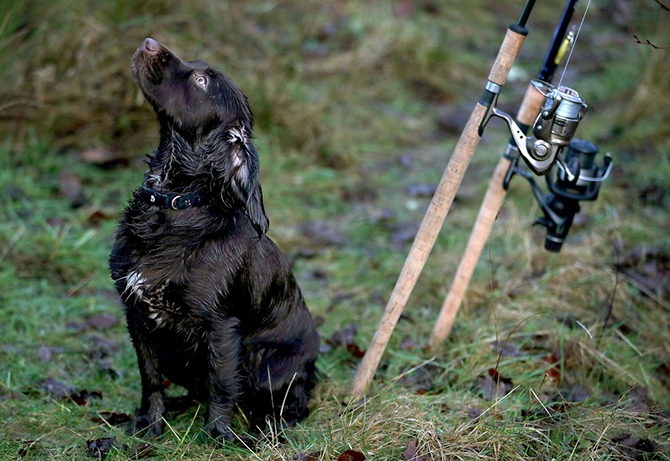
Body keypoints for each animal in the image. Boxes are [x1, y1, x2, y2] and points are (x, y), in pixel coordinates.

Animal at [109, 36, 322, 438]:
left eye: (201, 81)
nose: (149, 42)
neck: (173, 203)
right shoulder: (137, 316)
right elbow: (150, 378)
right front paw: (150, 425)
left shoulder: (221, 325)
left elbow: (222, 384)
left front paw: (218, 435)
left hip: (270, 364)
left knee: (292, 403)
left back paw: (267, 429)